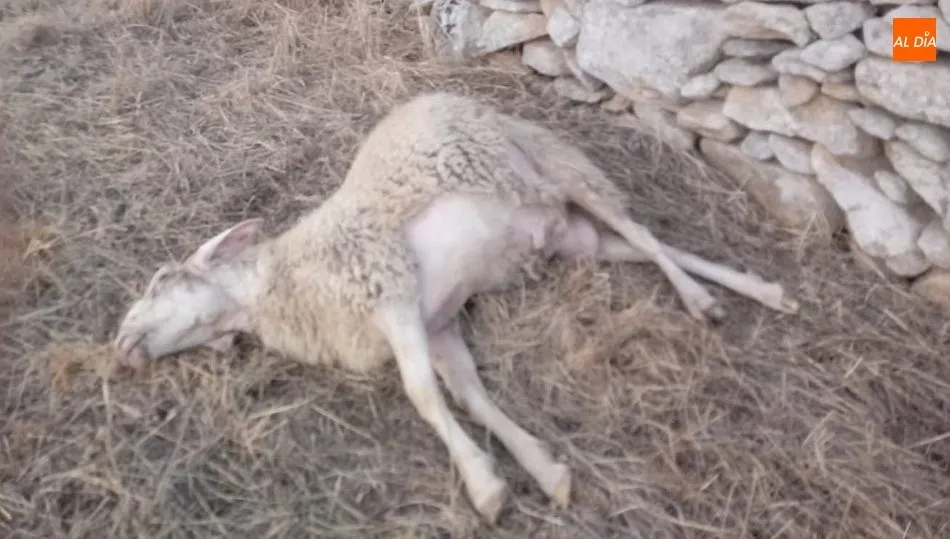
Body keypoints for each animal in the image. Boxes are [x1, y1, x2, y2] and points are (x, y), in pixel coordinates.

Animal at [112, 91, 799, 523]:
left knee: (647, 236)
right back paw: (760, 291)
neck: (290, 281)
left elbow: (421, 395)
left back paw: (703, 301)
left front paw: (484, 486)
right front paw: (542, 470)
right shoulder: (436, 324)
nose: (119, 348)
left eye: (160, 281)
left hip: (559, 172)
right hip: (575, 238)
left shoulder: (390, 292)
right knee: (650, 246)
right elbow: (470, 397)